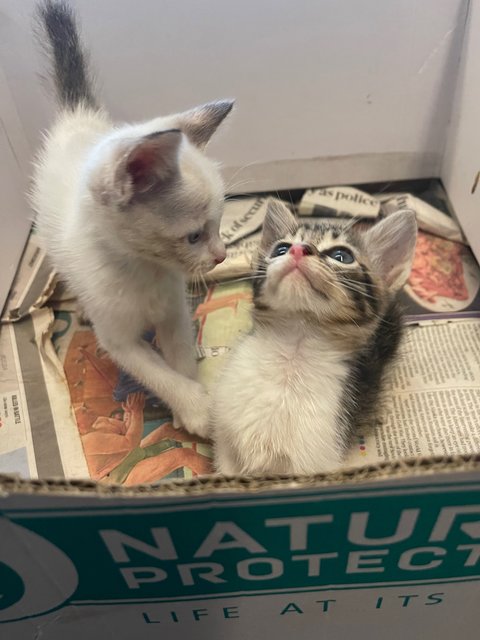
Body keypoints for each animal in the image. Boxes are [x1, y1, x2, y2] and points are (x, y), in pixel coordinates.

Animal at [31, 1, 234, 436]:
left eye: (220, 223)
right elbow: (155, 372)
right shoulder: (118, 339)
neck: (145, 268)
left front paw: (191, 402)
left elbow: (180, 356)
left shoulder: (175, 311)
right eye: (194, 236)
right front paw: (195, 407)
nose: (222, 256)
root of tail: (78, 118)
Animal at [210, 200, 416, 476]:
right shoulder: (225, 446)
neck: (294, 347)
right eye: (281, 248)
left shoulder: (313, 463)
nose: (298, 249)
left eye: (341, 256)